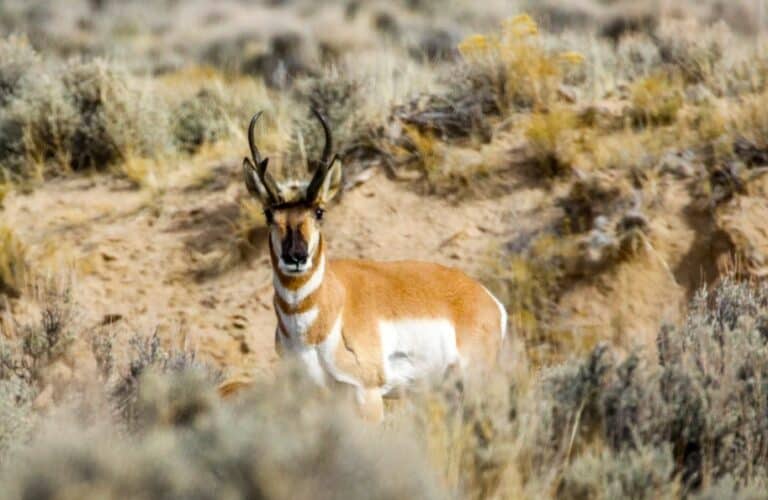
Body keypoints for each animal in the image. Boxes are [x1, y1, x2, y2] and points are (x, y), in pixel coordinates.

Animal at [238, 108, 504, 418]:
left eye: (319, 211)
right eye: (269, 214)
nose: (296, 257)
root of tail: (486, 297)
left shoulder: (368, 393)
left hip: (474, 383)